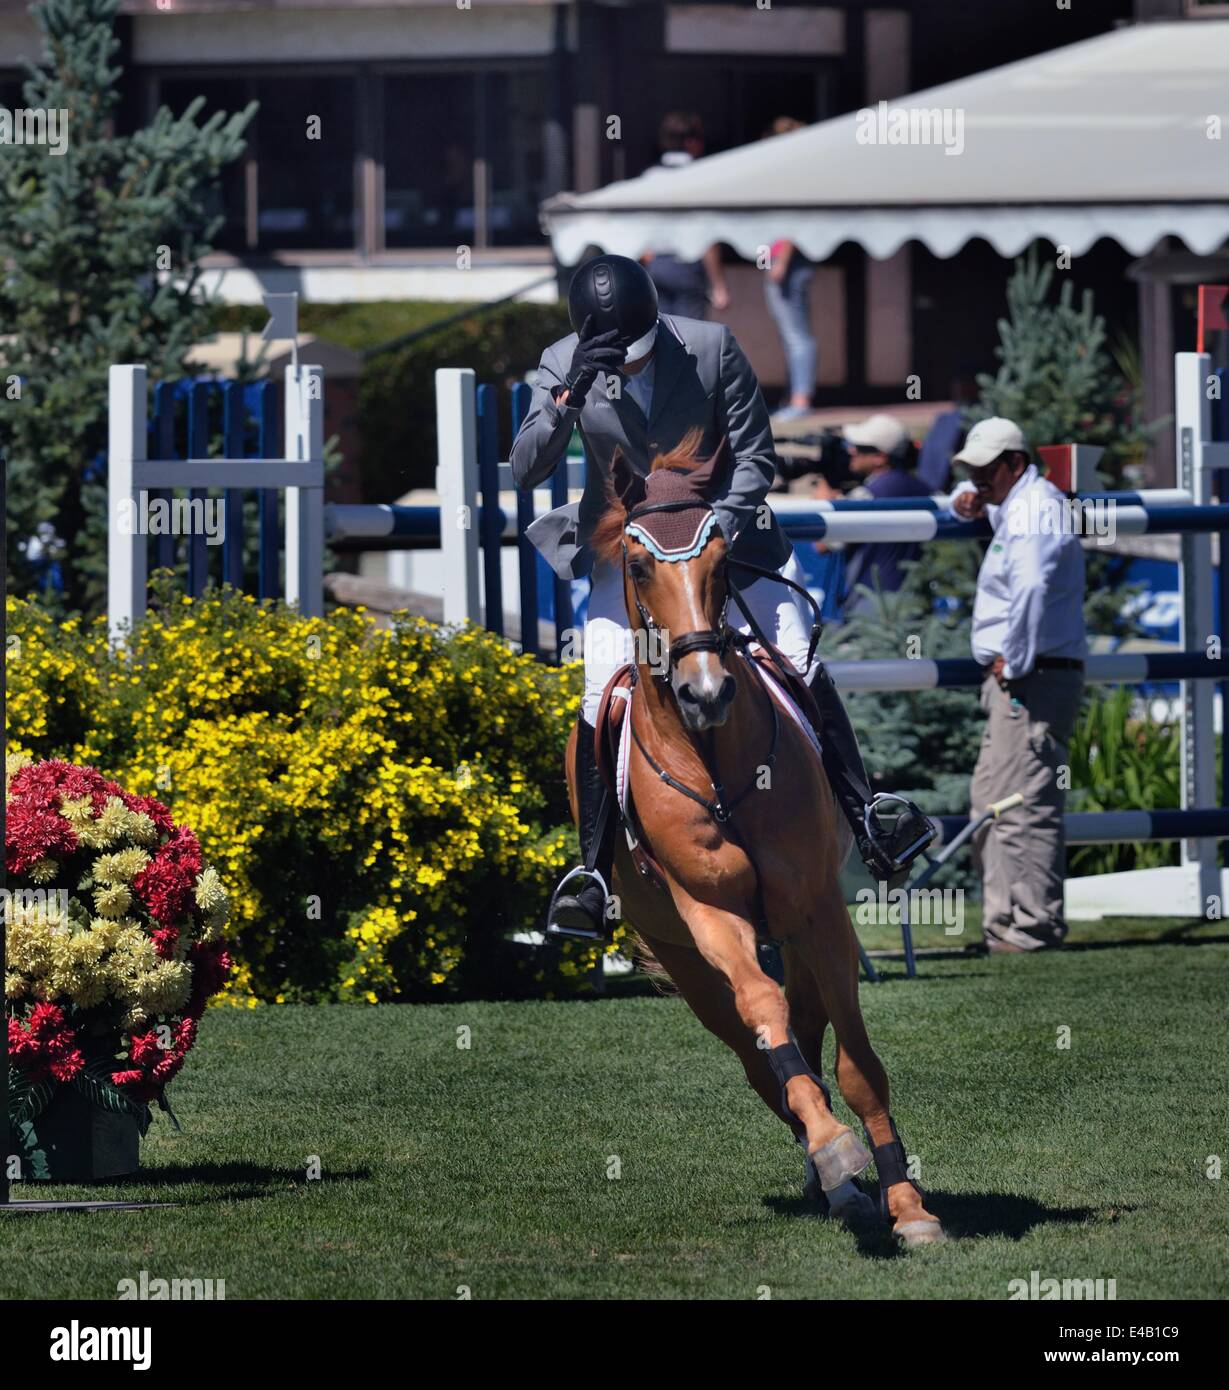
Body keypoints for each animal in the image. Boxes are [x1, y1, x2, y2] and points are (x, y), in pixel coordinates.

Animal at [561, 428, 945, 1245]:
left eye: (719, 560)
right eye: (637, 565)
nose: (705, 692)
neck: (713, 759)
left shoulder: (817, 911)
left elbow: (857, 1064)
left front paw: (908, 1208)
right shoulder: (711, 917)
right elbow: (767, 1022)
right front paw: (836, 1156)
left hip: (791, 932)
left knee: (806, 1029)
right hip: (685, 959)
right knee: (757, 1049)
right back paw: (832, 1174)